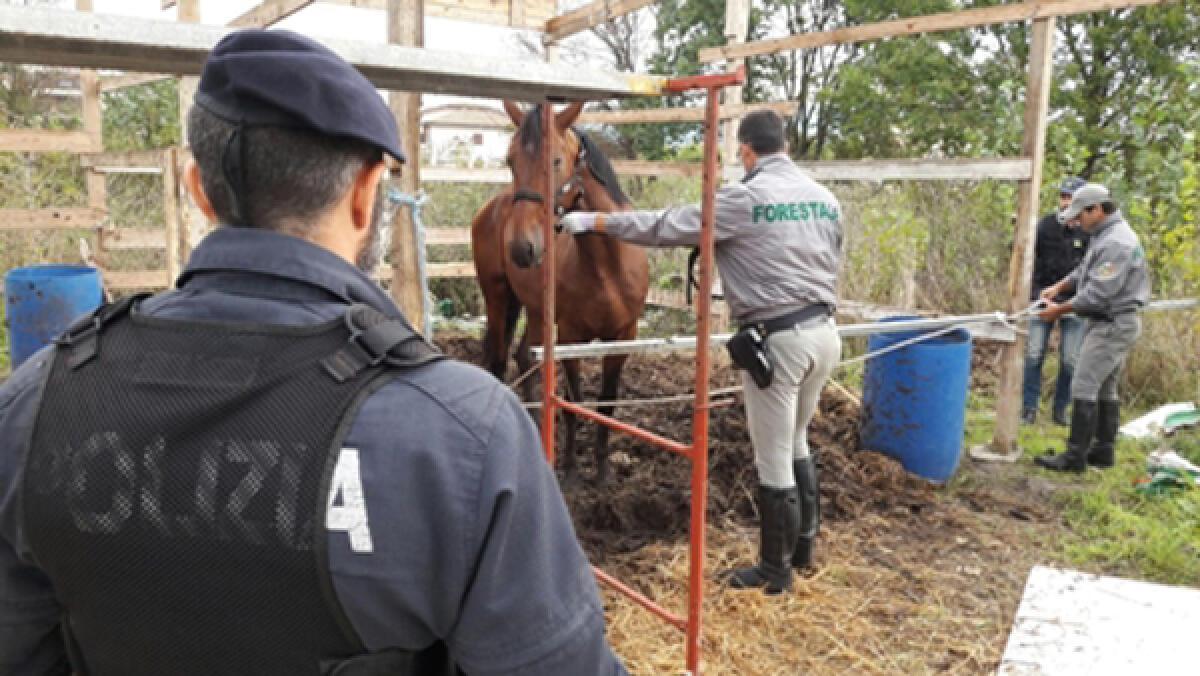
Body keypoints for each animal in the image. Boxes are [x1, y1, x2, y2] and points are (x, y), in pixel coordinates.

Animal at [470, 101, 649, 485]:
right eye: (509, 160)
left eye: (555, 161)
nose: (521, 248)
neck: (606, 265)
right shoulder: (570, 336)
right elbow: (573, 403)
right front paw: (569, 469)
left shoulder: (623, 337)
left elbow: (606, 403)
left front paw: (602, 469)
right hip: (498, 298)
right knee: (499, 361)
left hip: (537, 311)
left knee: (524, 356)